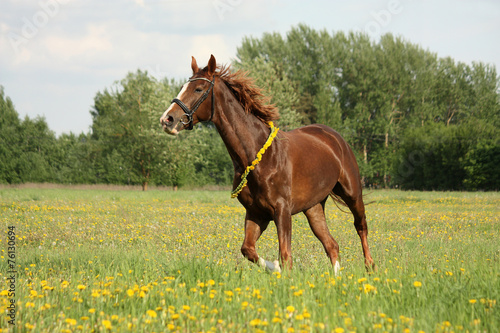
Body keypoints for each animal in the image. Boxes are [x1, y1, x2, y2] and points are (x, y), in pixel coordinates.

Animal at [160, 54, 376, 272]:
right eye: (183, 86)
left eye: (198, 89)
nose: (167, 119)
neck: (258, 157)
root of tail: (335, 138)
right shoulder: (256, 214)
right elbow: (248, 249)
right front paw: (275, 268)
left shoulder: (282, 211)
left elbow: (286, 255)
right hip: (313, 207)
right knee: (332, 245)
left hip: (352, 194)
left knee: (361, 226)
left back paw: (370, 267)